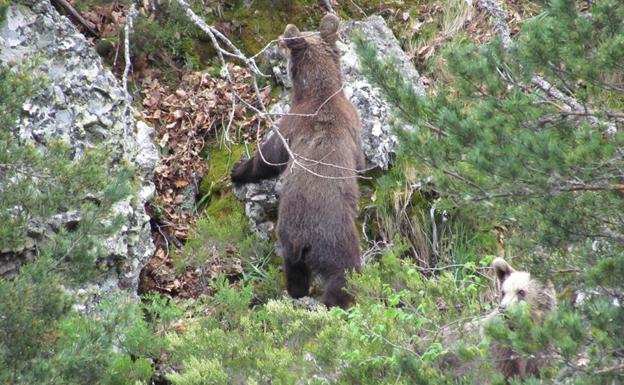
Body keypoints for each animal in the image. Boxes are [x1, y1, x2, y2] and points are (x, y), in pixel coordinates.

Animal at [232, 13, 364, 308]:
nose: (278, 43)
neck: (319, 93)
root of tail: (305, 239)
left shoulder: (297, 124)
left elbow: (269, 156)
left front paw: (237, 169)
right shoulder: (301, 124)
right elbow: (270, 157)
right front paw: (239, 170)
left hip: (293, 243)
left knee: (301, 275)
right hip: (328, 239)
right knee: (339, 275)